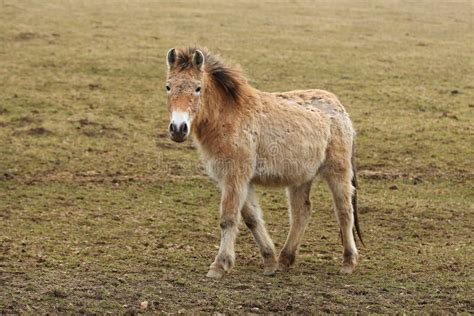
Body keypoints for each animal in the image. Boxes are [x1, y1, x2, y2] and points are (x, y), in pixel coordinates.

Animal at [163, 47, 362, 278]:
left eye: (198, 88)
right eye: (168, 86)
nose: (178, 129)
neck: (229, 116)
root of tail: (339, 108)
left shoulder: (235, 176)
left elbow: (228, 218)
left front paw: (219, 266)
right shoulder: (239, 179)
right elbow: (252, 218)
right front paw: (269, 261)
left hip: (337, 170)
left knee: (344, 211)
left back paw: (348, 262)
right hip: (301, 177)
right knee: (301, 212)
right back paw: (285, 259)